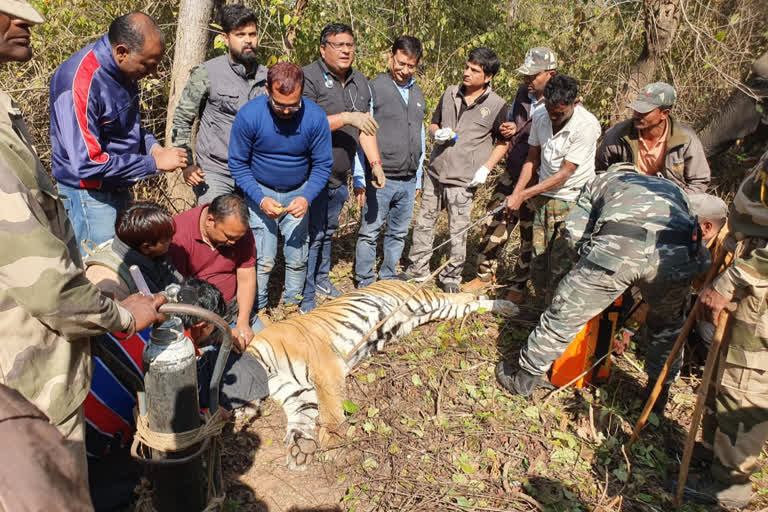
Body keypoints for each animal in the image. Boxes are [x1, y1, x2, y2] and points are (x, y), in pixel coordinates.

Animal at [244, 280, 516, 468]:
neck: (268, 373)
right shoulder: (298, 394)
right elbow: (300, 421)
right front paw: (300, 449)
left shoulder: (326, 367)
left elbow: (331, 412)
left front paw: (332, 445)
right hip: (438, 312)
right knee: (469, 304)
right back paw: (506, 308)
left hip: (424, 300)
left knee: (458, 296)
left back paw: (508, 306)